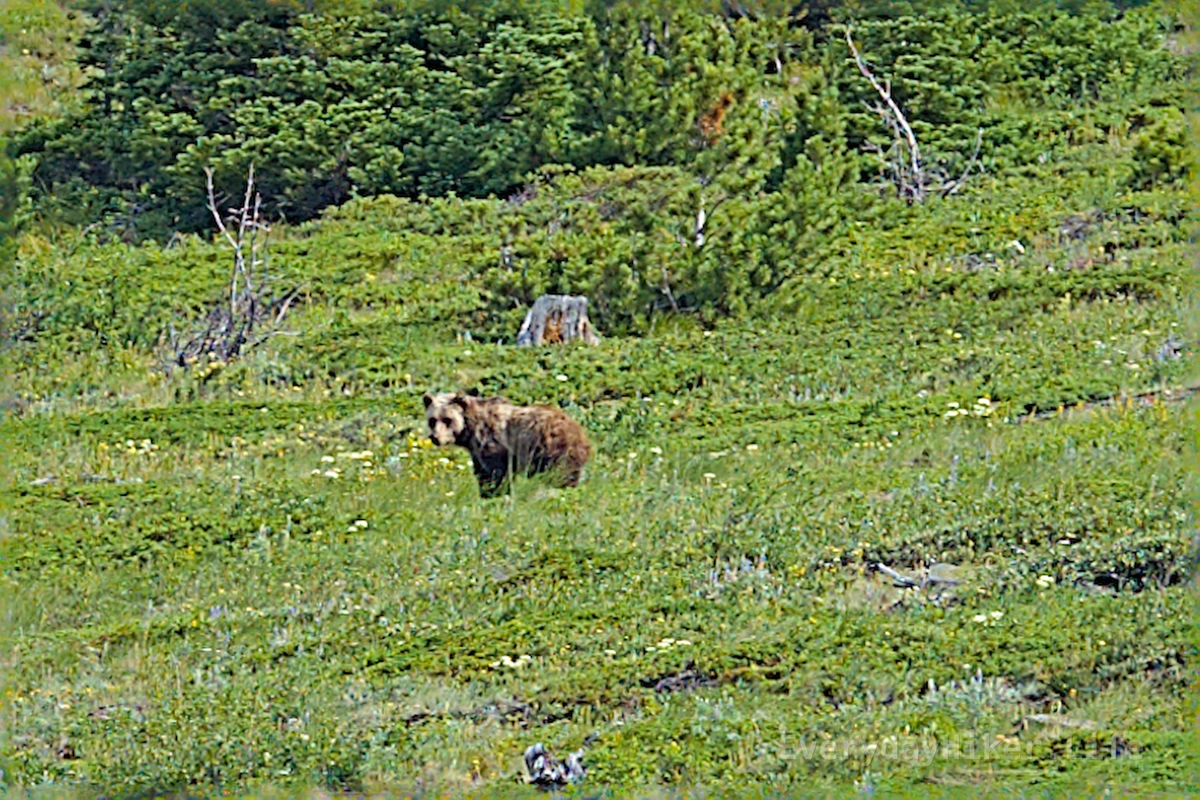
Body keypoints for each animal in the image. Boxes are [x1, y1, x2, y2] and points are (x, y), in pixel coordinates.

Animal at [423, 390, 592, 498]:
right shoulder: (476, 451)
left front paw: (495, 493)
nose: (435, 437)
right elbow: (482, 472)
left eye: (447, 419)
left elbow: (495, 472)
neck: (469, 429)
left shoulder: (493, 444)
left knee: (559, 476)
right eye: (432, 420)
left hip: (550, 449)